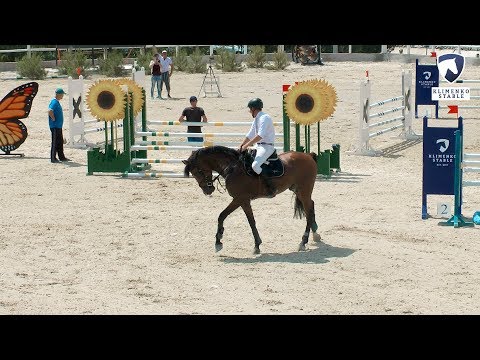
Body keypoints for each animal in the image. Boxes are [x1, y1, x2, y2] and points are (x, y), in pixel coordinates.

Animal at [182, 146, 320, 253]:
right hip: (298, 190)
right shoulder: (242, 201)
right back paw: (315, 234)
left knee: (308, 210)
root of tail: (308, 155)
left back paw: (303, 241)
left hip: (304, 190)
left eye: (199, 171)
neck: (233, 168)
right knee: (311, 206)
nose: (207, 190)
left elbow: (228, 217)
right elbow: (245, 220)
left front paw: (219, 241)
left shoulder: (240, 199)